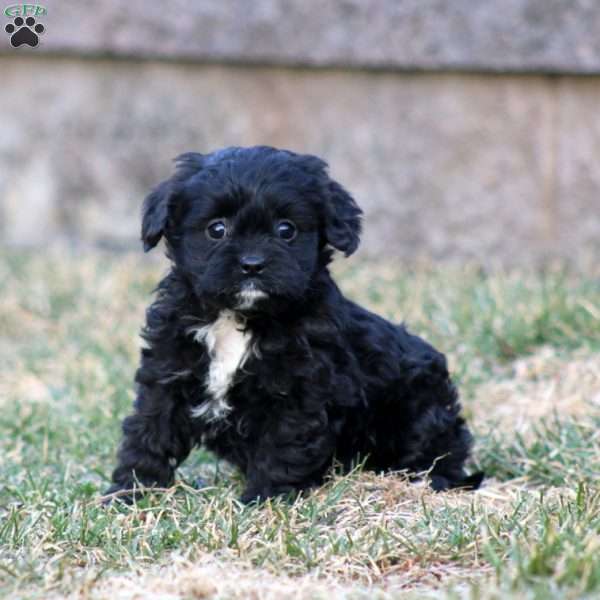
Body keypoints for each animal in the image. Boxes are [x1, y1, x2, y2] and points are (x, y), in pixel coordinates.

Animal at [106, 145, 482, 502]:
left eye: (286, 229)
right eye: (217, 229)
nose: (252, 264)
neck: (238, 316)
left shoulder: (299, 392)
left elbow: (284, 445)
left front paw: (265, 499)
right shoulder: (167, 372)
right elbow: (150, 432)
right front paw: (131, 493)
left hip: (421, 411)